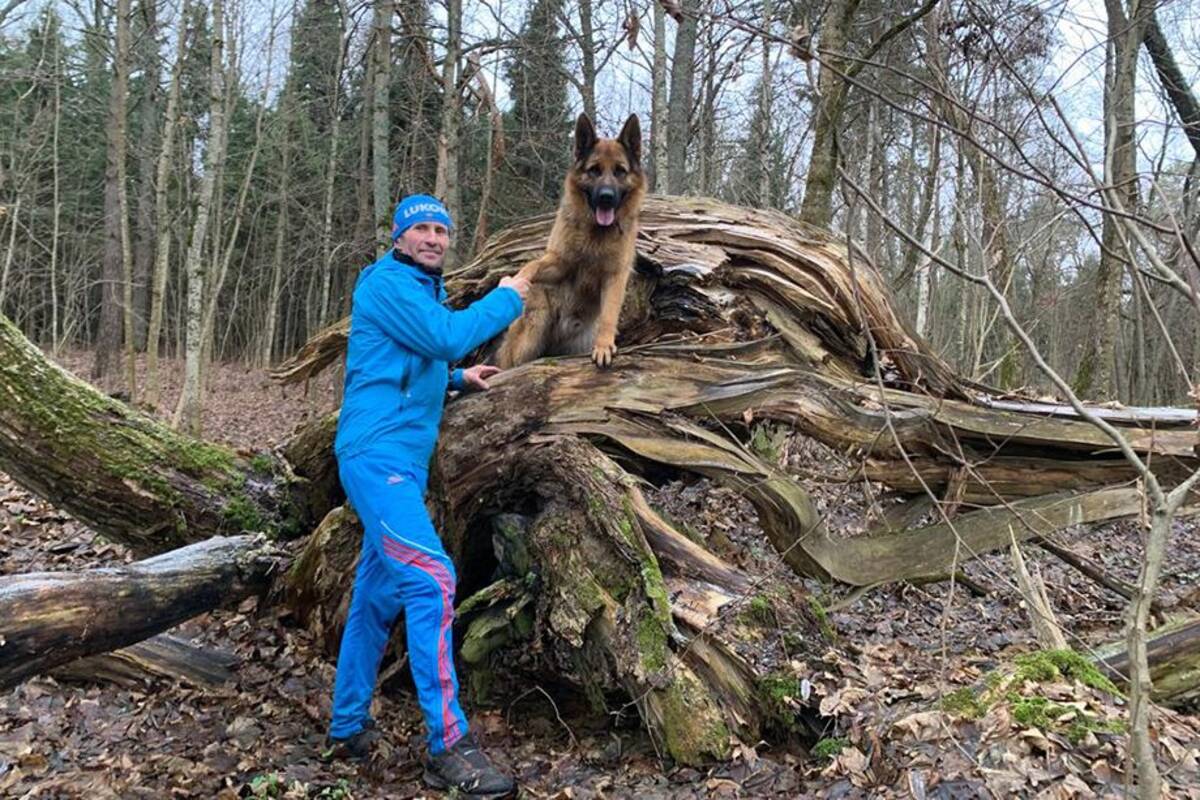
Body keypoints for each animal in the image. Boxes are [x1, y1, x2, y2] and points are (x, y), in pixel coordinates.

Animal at [494, 112, 648, 369]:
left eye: (620, 171)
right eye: (594, 170)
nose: (606, 197)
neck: (595, 233)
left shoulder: (615, 277)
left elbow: (609, 315)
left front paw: (604, 345)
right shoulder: (560, 264)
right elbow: (532, 264)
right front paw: (517, 280)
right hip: (532, 332)